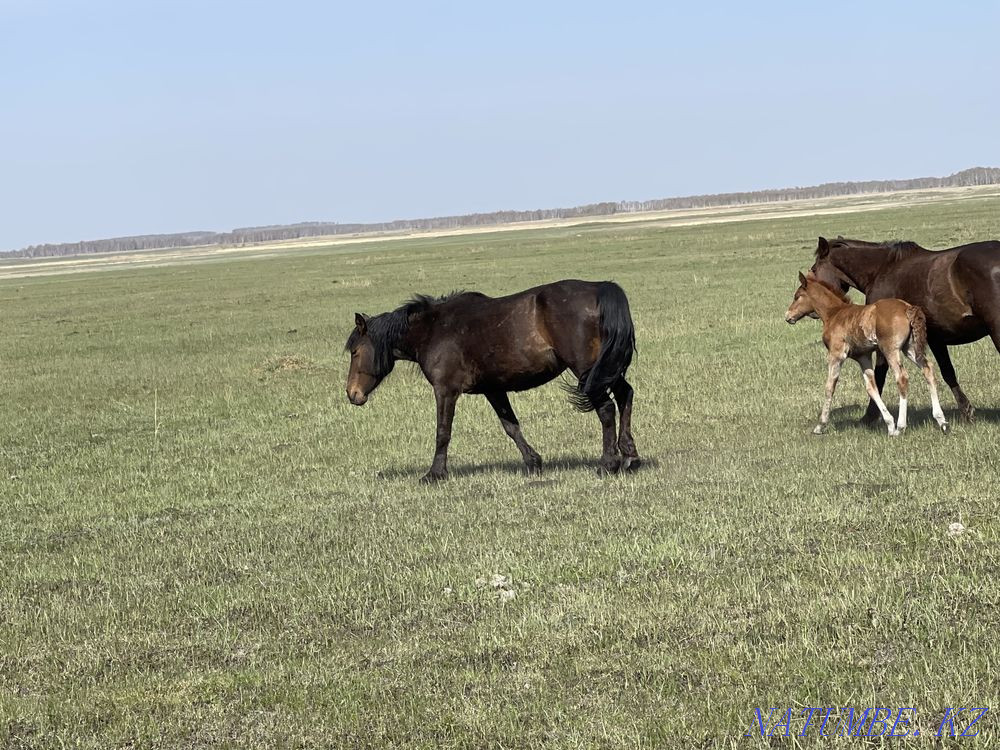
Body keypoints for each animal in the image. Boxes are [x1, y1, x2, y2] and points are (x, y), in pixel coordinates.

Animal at [344, 279, 640, 481]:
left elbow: (443, 432)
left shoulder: (445, 391)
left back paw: (608, 464)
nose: (352, 394)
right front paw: (533, 462)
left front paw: (435, 473)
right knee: (625, 395)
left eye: (355, 352)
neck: (434, 329)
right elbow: (511, 426)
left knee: (606, 409)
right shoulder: (493, 389)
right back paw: (630, 457)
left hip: (589, 371)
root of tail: (599, 288)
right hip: (607, 369)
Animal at [785, 271, 949, 436]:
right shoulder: (863, 357)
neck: (834, 313)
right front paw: (889, 424)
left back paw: (901, 427)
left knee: (902, 377)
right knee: (928, 369)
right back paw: (941, 420)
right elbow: (871, 387)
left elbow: (830, 386)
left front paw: (820, 425)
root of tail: (907, 308)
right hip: (910, 348)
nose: (788, 316)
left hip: (890, 349)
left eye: (797, 296)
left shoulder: (836, 354)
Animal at [810, 235, 1000, 424]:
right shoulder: (935, 338)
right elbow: (947, 372)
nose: (812, 311)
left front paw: (870, 416)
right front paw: (966, 411)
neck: (881, 270)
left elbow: (879, 376)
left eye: (814, 269)